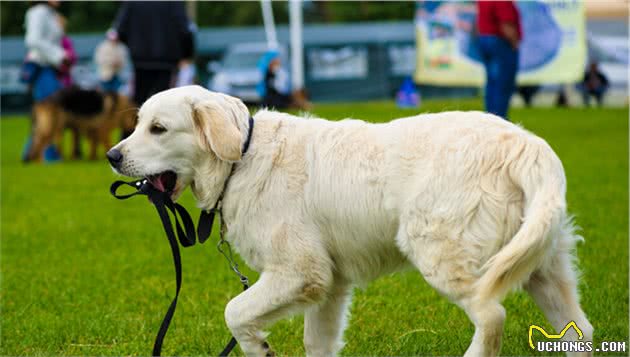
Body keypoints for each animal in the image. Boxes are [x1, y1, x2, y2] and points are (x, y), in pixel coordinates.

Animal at [107, 86, 592, 356]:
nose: (112, 156)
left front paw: (257, 346)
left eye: (157, 129)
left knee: (491, 316)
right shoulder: (330, 285)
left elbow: (235, 310)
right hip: (544, 269)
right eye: (138, 124)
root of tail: (526, 144)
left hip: (441, 252)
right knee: (579, 331)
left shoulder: (300, 271)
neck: (241, 159)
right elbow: (316, 344)